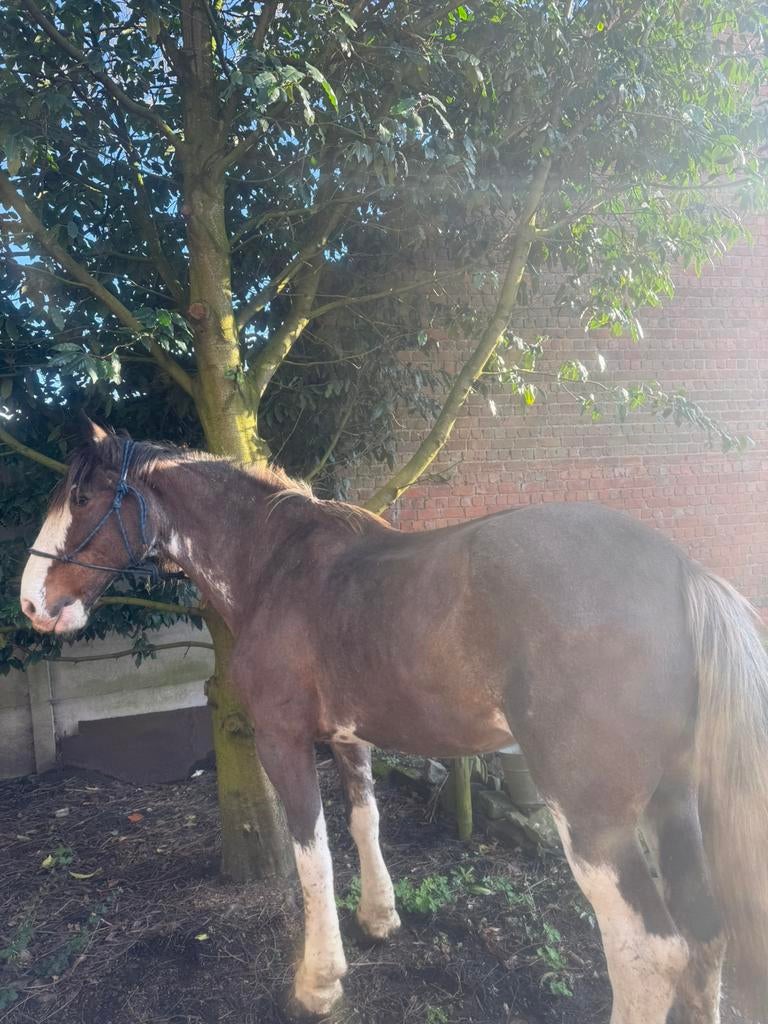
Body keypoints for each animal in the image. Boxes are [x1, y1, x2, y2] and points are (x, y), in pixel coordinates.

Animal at [19, 420, 768, 1024]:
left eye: (81, 497)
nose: (30, 604)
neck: (276, 566)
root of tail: (683, 573)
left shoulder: (283, 741)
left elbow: (313, 854)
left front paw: (319, 983)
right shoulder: (351, 738)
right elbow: (364, 822)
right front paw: (380, 918)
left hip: (595, 821)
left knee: (648, 952)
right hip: (674, 800)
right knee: (706, 933)